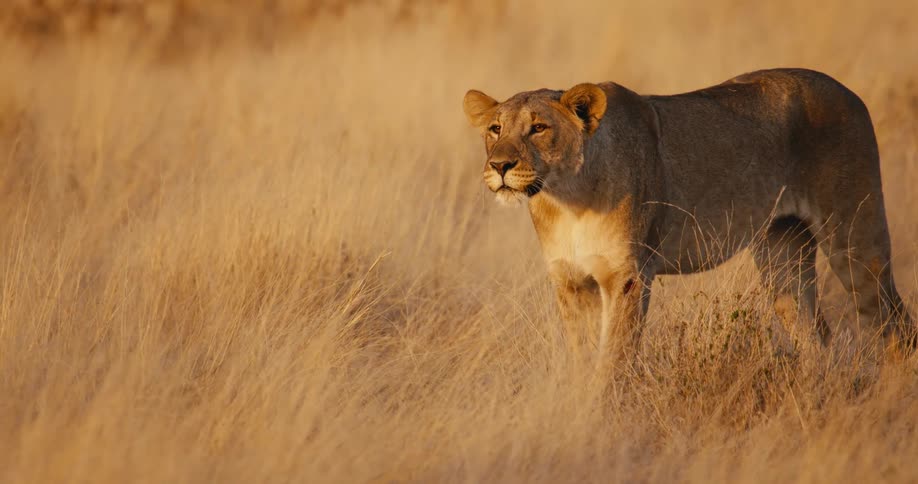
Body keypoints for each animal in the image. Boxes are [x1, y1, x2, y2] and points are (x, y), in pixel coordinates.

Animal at [463, 68, 914, 364]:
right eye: (495, 129)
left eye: (538, 128)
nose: (499, 165)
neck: (565, 199)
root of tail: (847, 91)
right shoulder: (572, 282)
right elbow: (582, 362)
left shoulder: (628, 277)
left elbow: (613, 364)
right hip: (782, 252)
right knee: (815, 333)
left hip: (855, 241)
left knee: (894, 325)